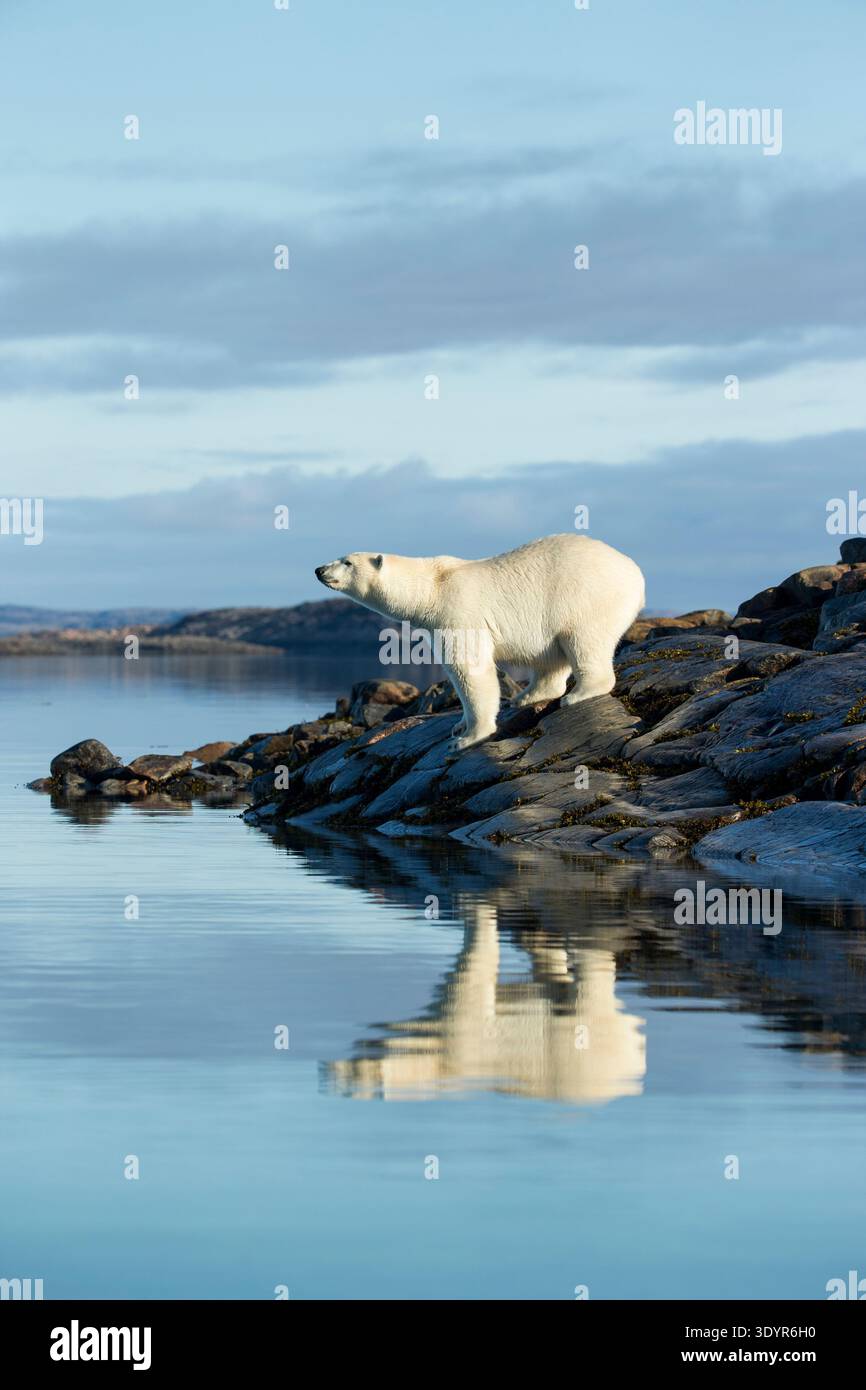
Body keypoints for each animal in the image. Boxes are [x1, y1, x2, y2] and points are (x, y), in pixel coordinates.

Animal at [315, 533, 645, 754]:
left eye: (347, 561)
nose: (319, 570)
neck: (432, 588)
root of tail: (636, 573)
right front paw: (459, 725)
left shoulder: (458, 611)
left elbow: (470, 669)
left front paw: (468, 737)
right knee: (549, 658)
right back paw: (526, 696)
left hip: (585, 597)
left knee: (584, 640)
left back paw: (579, 694)